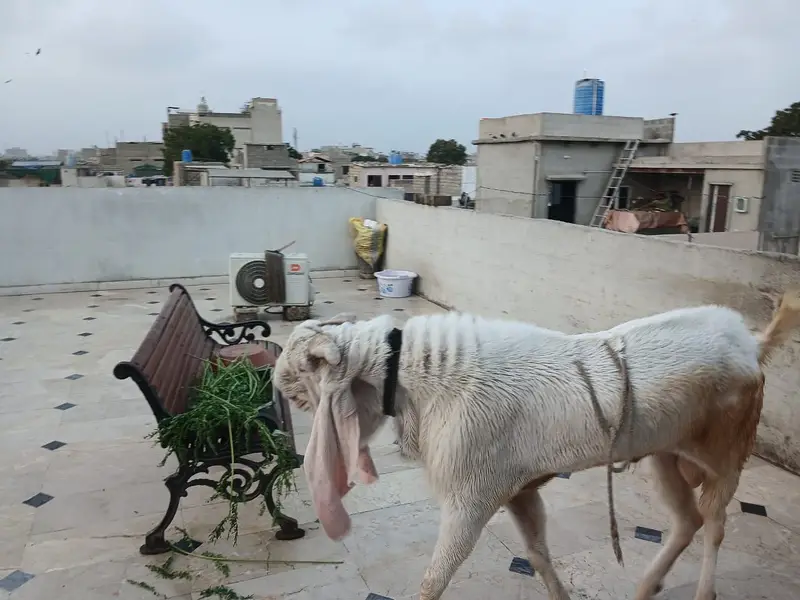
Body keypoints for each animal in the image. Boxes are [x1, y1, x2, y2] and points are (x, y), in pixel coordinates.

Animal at [274, 292, 800, 600]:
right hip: (666, 455)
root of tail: (753, 343)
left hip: (727, 451)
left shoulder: (471, 496)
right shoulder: (519, 490)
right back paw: (646, 586)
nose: (278, 386)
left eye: (306, 365)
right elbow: (539, 553)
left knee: (714, 523)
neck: (421, 378)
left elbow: (434, 579)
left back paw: (702, 591)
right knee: (687, 520)